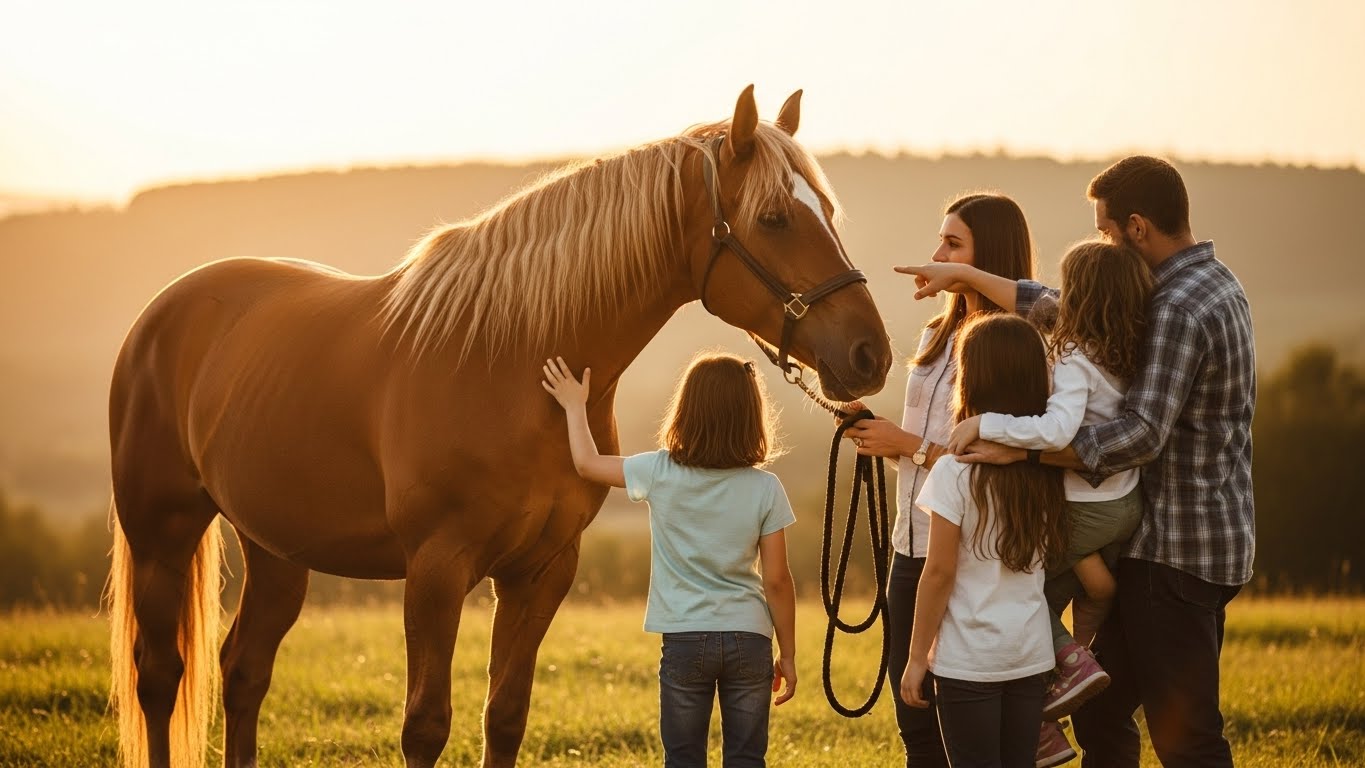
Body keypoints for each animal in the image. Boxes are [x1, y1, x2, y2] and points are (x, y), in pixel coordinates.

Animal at [106, 85, 893, 768]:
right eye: (774, 218)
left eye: (825, 210)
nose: (870, 354)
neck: (505, 364)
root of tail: (161, 314)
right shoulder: (436, 568)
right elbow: (425, 725)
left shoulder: (540, 571)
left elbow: (505, 715)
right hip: (162, 535)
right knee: (160, 675)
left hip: (277, 549)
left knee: (243, 670)